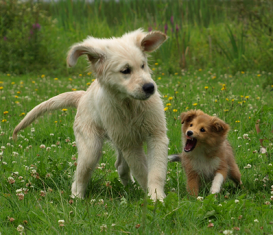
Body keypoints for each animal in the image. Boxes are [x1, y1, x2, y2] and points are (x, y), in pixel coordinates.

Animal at [14, 28, 170, 202]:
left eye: (143, 65)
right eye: (125, 71)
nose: (150, 87)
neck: (130, 105)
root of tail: (82, 97)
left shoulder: (156, 135)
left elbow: (156, 170)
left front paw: (156, 196)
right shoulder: (130, 144)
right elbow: (143, 171)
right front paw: (152, 197)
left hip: (117, 139)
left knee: (120, 166)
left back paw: (130, 187)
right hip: (92, 147)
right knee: (80, 176)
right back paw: (77, 199)